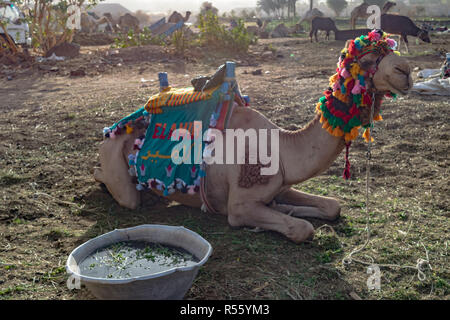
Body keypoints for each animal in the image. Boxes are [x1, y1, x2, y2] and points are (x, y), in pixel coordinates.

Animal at [93, 31, 414, 242]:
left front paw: (289, 208)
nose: (406, 71)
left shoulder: (281, 183)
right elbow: (302, 229)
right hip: (118, 169)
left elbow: (333, 206)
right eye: (370, 59)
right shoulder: (240, 205)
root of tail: (111, 131)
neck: (282, 147)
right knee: (125, 195)